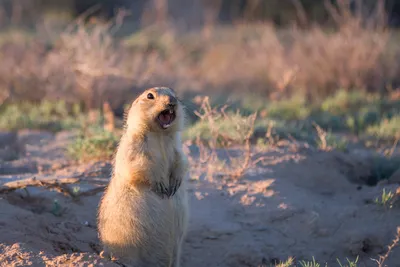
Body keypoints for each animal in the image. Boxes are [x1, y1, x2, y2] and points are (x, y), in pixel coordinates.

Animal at [97, 87, 190, 266]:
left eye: (173, 93)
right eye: (150, 95)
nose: (172, 102)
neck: (160, 135)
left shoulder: (177, 146)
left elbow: (181, 160)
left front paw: (175, 183)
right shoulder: (132, 145)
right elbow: (138, 163)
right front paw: (161, 185)